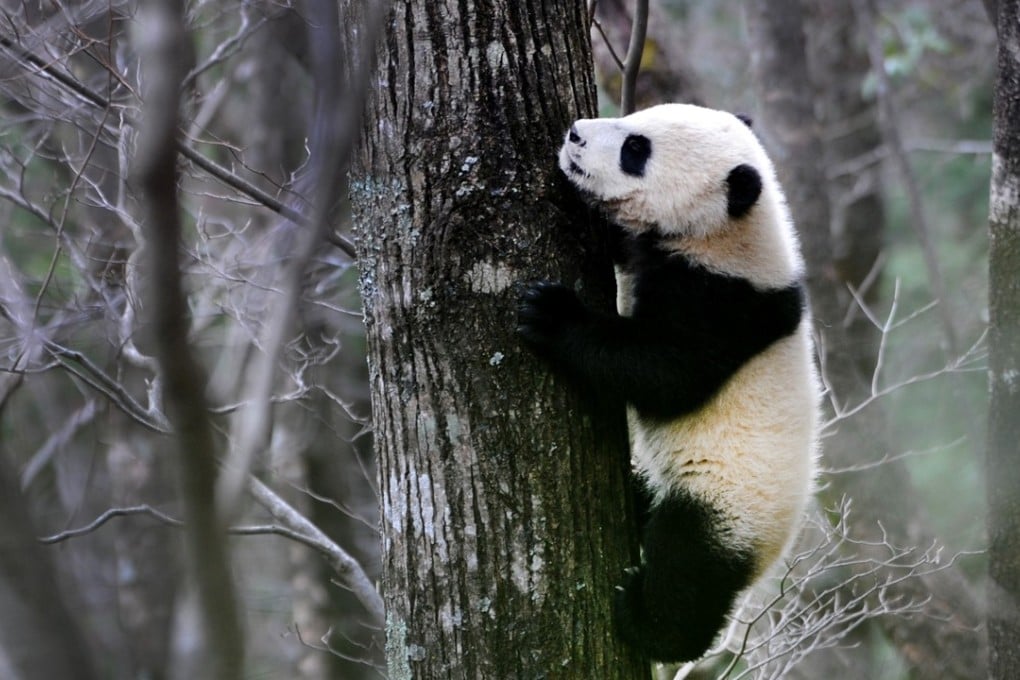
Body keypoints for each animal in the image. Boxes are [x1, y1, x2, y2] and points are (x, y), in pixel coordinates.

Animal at [517, 103, 820, 663]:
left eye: (636, 149)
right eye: (637, 118)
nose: (574, 133)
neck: (728, 233)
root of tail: (771, 557)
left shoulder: (726, 306)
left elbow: (663, 371)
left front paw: (550, 314)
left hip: (726, 505)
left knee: (688, 568)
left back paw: (648, 623)